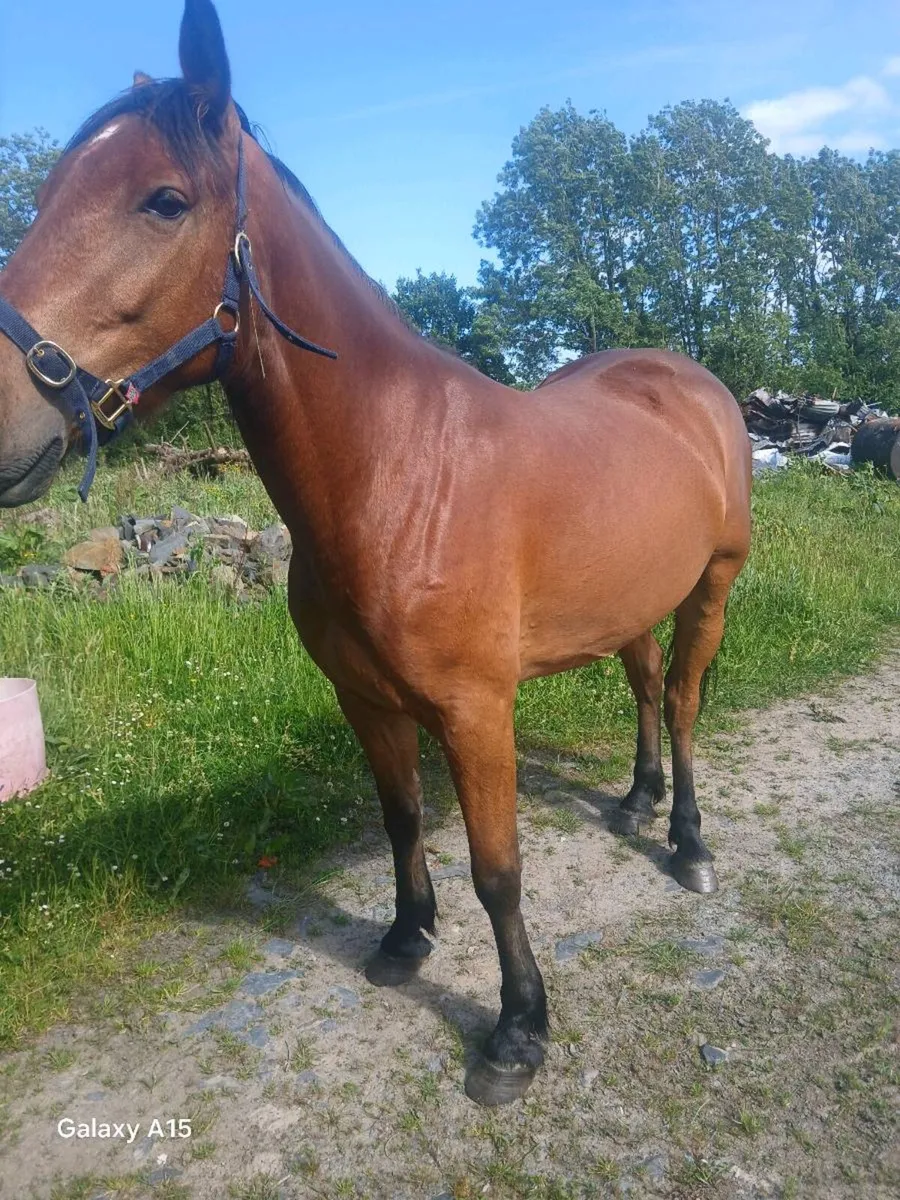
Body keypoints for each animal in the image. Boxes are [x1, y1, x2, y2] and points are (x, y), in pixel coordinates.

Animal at [0, 0, 751, 1105]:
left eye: (164, 200)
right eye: (45, 195)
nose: (3, 420)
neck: (398, 472)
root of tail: (687, 382)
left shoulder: (477, 712)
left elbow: (499, 869)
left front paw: (517, 1032)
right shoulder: (364, 696)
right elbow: (400, 820)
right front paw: (405, 940)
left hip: (713, 585)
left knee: (689, 700)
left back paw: (687, 841)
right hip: (628, 601)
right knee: (648, 685)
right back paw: (638, 798)